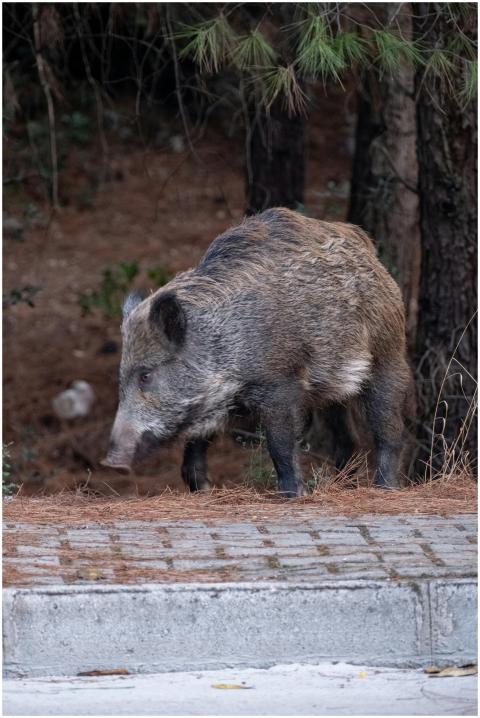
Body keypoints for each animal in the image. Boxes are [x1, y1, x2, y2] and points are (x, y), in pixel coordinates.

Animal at [102, 207, 412, 497]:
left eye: (146, 375)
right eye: (121, 376)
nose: (111, 463)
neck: (224, 341)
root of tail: (365, 246)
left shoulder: (279, 385)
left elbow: (280, 445)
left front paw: (292, 496)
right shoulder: (216, 402)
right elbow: (195, 447)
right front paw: (203, 490)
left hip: (388, 353)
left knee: (389, 429)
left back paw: (384, 488)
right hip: (332, 388)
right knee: (348, 439)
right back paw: (343, 486)